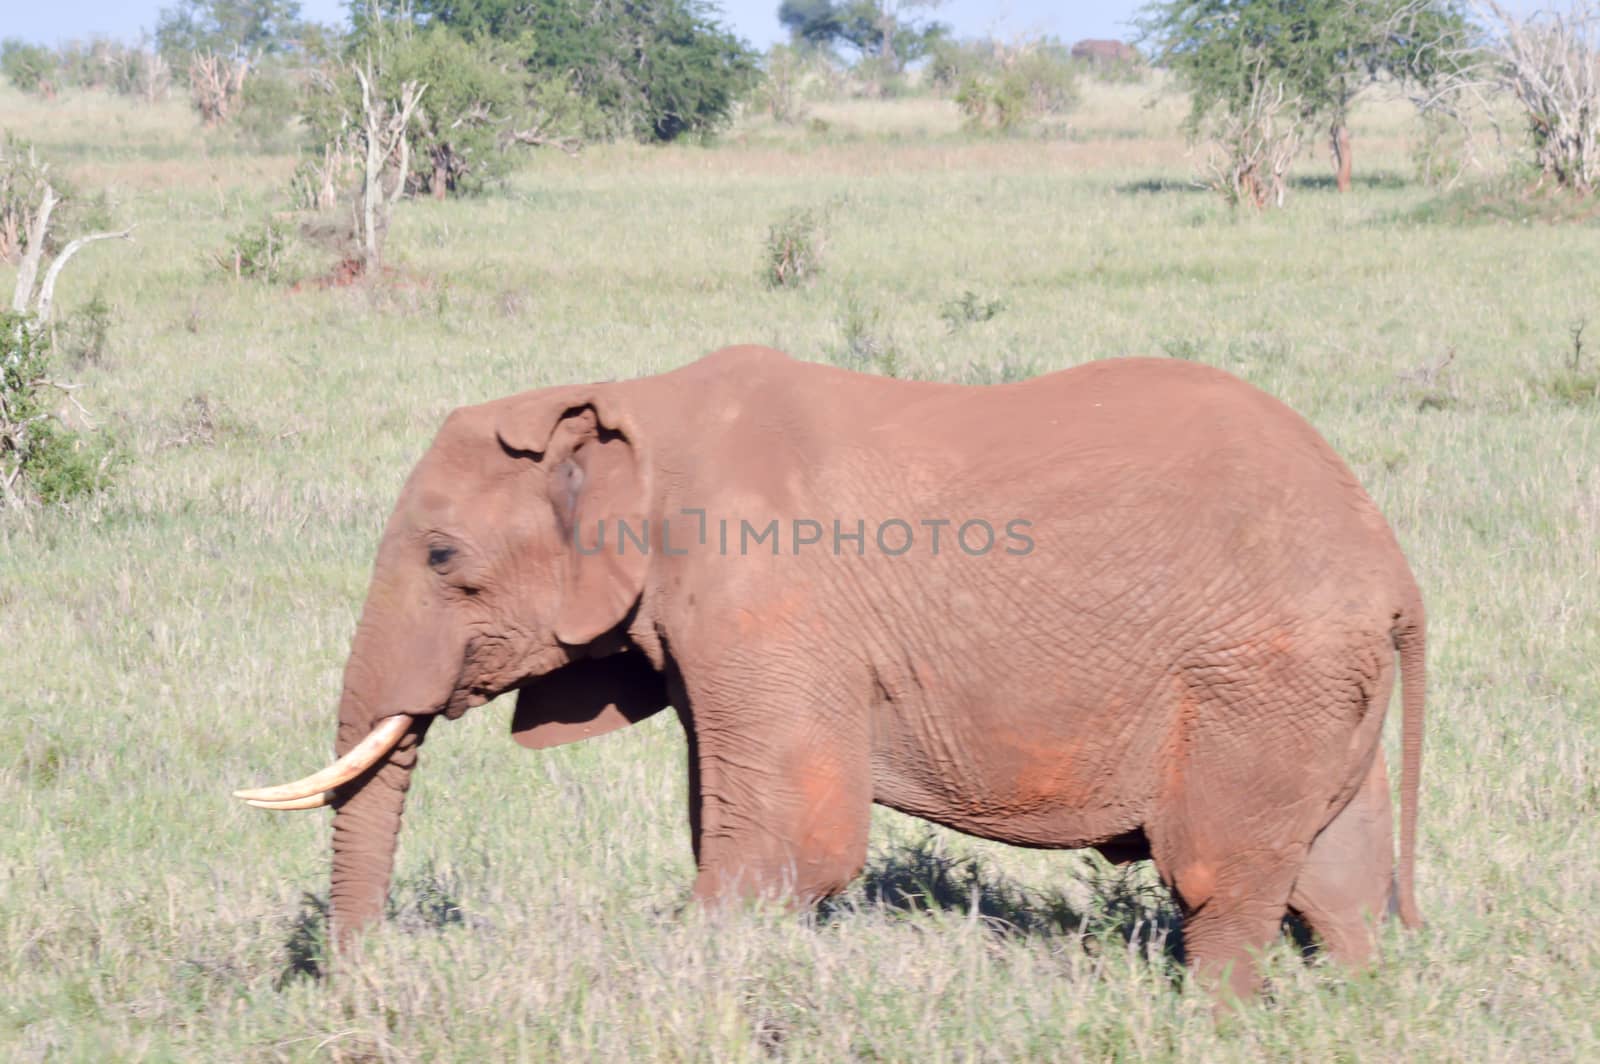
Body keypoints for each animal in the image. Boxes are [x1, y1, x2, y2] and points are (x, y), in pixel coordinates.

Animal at [236, 344, 1427, 998]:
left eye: (442, 558)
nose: (357, 978)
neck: (634, 406)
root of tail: (1391, 562)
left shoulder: (765, 598)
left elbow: (788, 846)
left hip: (1256, 674)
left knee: (1219, 875)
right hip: (1315, 684)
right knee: (1340, 878)